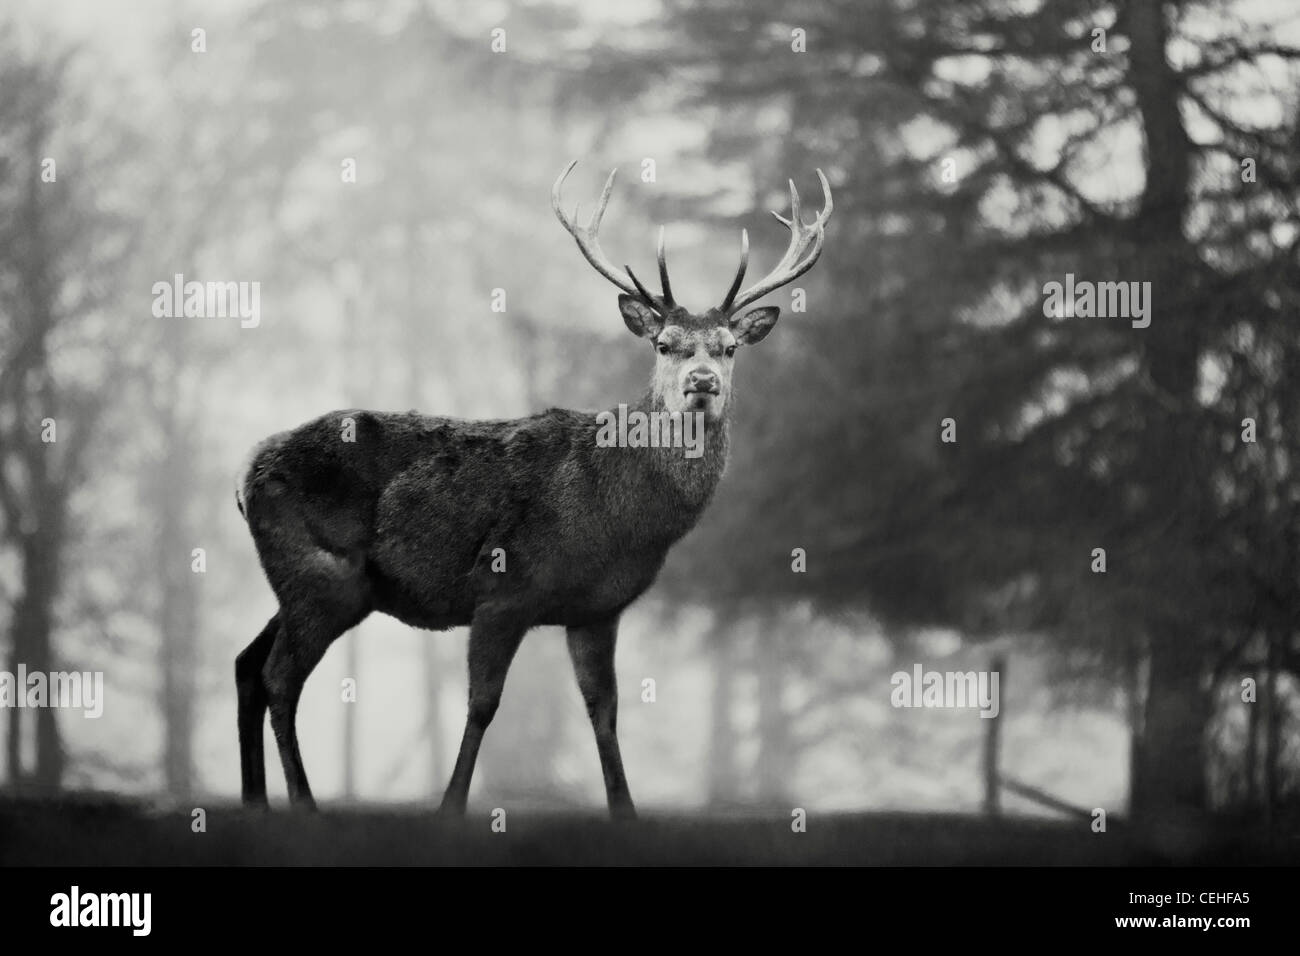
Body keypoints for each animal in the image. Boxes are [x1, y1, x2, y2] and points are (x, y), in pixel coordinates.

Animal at [233, 160, 832, 816]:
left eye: (729, 348)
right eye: (663, 344)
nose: (702, 382)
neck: (618, 516)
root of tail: (246, 471)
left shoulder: (597, 610)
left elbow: (604, 713)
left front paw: (625, 811)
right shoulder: (504, 589)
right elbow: (483, 705)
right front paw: (450, 809)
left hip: (305, 582)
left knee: (247, 663)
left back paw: (257, 801)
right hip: (323, 575)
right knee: (279, 677)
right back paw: (303, 805)